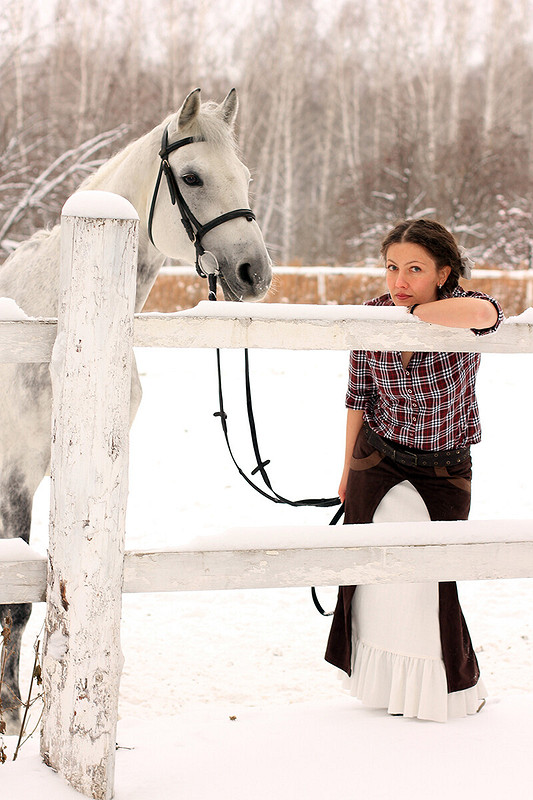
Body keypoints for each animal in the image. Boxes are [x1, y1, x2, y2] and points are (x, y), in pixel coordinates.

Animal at [0, 86, 272, 732]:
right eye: (192, 176)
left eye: (245, 176)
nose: (255, 273)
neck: (55, 317)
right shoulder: (15, 475)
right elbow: (16, 601)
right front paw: (8, 713)